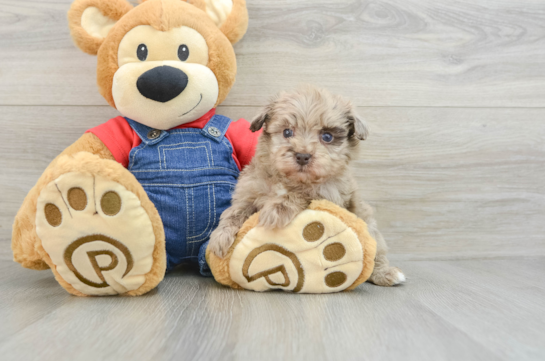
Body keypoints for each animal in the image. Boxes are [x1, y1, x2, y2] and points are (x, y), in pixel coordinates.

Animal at [208, 86, 404, 286]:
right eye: (287, 132)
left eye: (327, 136)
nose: (302, 156)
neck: (291, 180)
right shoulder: (250, 191)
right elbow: (234, 212)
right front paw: (220, 237)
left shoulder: (329, 195)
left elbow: (302, 194)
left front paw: (276, 209)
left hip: (369, 227)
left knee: (376, 254)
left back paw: (386, 273)